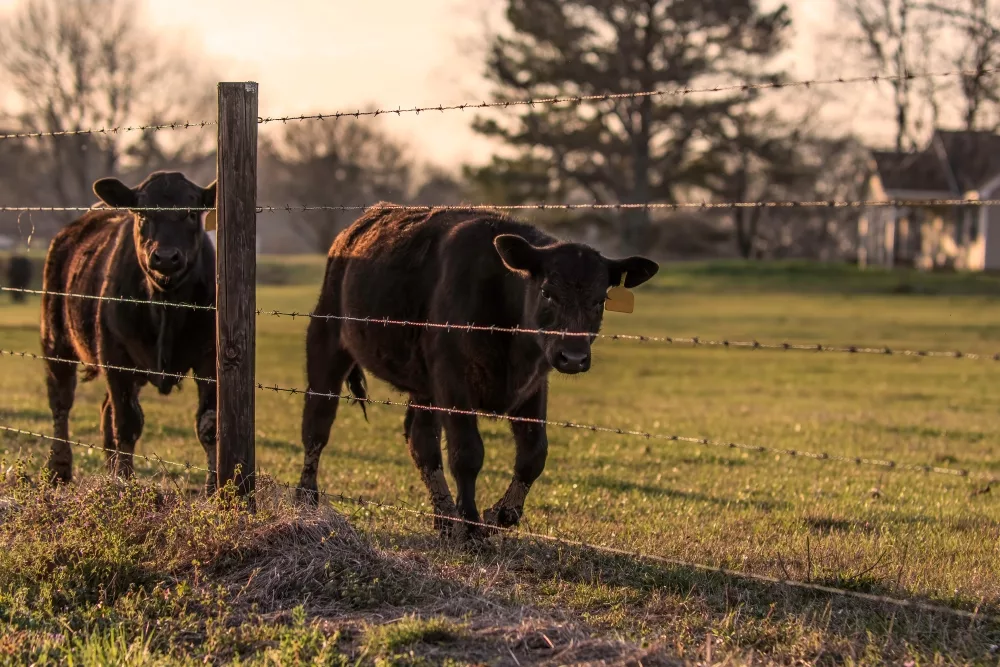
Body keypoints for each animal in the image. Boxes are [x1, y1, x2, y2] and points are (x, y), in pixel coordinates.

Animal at [41, 170, 219, 488]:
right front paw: (126, 483)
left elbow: (208, 425)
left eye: (190, 213)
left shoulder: (209, 359)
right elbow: (127, 424)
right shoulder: (116, 356)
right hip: (55, 339)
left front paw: (215, 490)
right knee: (61, 402)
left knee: (104, 412)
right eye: (143, 213)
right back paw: (59, 469)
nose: (165, 257)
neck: (165, 304)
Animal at [300, 206, 660, 540]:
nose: (573, 357)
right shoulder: (453, 380)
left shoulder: (533, 385)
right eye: (547, 292)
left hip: (424, 387)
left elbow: (534, 453)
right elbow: (467, 453)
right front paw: (472, 524)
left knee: (421, 442)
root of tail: (351, 232)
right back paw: (306, 498)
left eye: (600, 300)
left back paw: (445, 519)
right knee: (317, 424)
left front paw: (501, 514)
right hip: (326, 341)